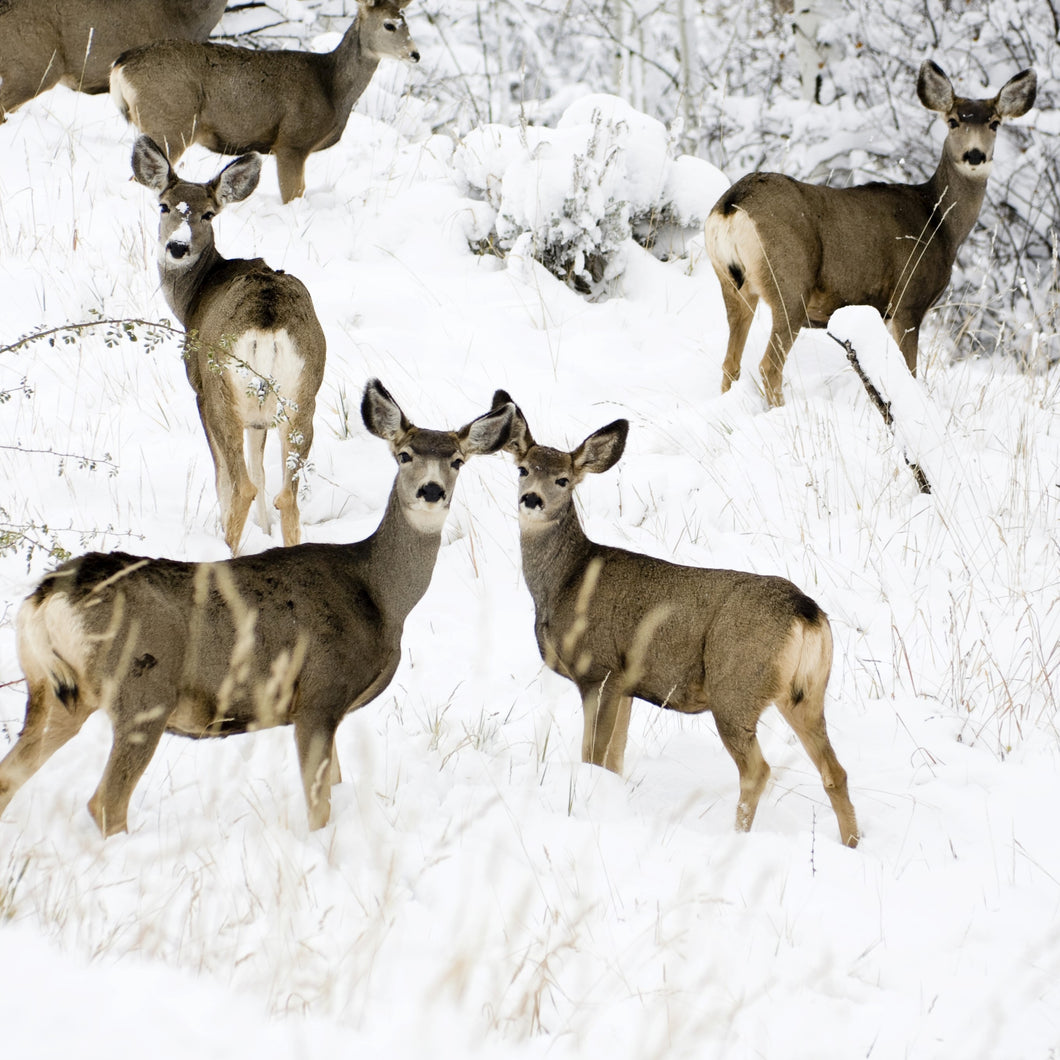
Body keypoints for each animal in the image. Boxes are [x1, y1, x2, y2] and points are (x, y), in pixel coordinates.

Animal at [0, 381, 515, 835]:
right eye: (404, 454)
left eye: (457, 461)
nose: (431, 491)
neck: (380, 597)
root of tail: (46, 596)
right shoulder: (320, 694)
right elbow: (319, 806)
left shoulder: (326, 708)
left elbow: (335, 783)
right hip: (143, 693)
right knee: (105, 802)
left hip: (55, 692)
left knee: (11, 776)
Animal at [109, 0, 417, 202]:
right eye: (390, 25)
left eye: (407, 23)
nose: (415, 54)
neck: (331, 86)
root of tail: (120, 64)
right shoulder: (292, 142)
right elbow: (293, 195)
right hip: (170, 122)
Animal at [130, 132, 324, 555]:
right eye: (164, 206)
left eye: (208, 214)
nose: (177, 247)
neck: (195, 298)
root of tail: (268, 320)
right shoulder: (259, 418)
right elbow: (261, 469)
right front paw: (264, 532)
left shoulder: (200, 391)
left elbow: (225, 479)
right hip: (303, 395)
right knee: (287, 494)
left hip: (222, 391)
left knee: (241, 486)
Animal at [496, 390, 860, 843]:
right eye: (523, 469)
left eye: (563, 479)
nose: (531, 499)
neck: (566, 581)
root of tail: (806, 612)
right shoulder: (627, 684)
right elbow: (614, 760)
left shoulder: (599, 671)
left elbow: (593, 757)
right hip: (806, 693)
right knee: (835, 771)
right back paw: (852, 843)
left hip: (735, 689)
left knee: (758, 770)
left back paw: (738, 837)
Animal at [703, 59, 1034, 404]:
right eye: (953, 120)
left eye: (994, 123)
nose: (975, 155)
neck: (939, 220)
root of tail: (731, 205)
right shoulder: (908, 301)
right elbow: (909, 373)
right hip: (790, 283)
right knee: (769, 366)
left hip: (732, 283)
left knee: (731, 363)